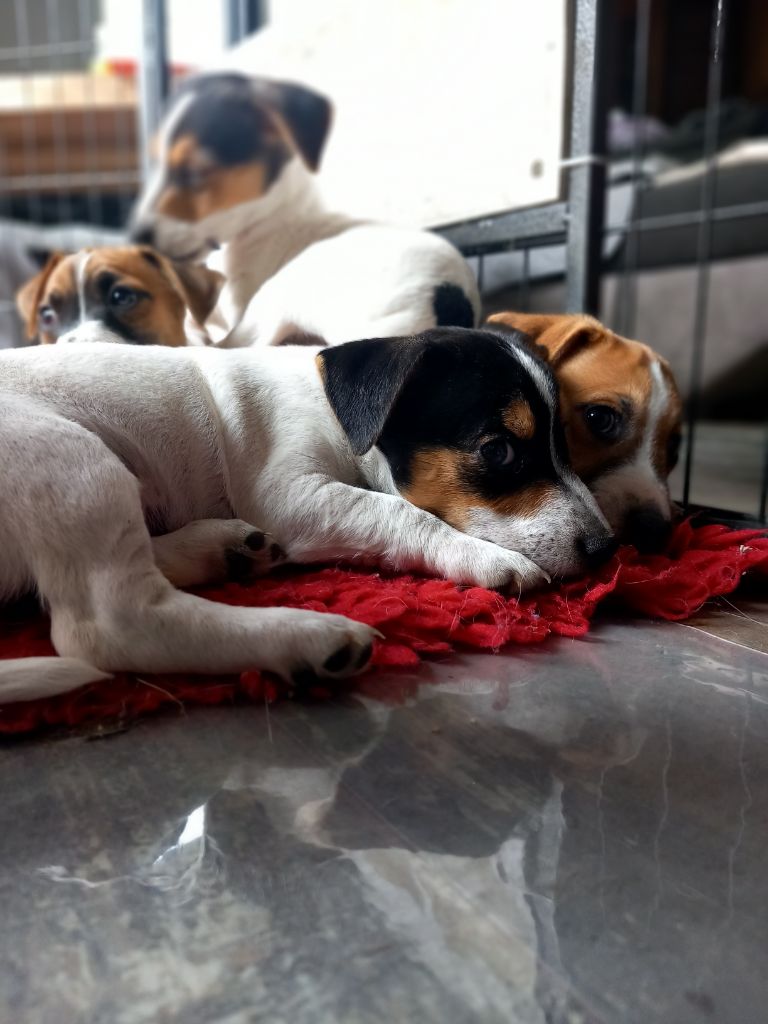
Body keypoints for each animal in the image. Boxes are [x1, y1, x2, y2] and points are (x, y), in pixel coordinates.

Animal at [0, 325, 614, 704]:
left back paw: (223, 550)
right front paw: (484, 557)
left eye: (566, 443)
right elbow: (399, 511)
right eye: (498, 451)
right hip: (71, 457)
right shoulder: (290, 493)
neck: (339, 411)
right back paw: (303, 636)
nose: (609, 550)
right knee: (115, 624)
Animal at [129, 73, 481, 348]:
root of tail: (446, 300)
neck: (268, 217)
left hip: (277, 295)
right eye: (152, 161)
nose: (134, 237)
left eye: (196, 172)